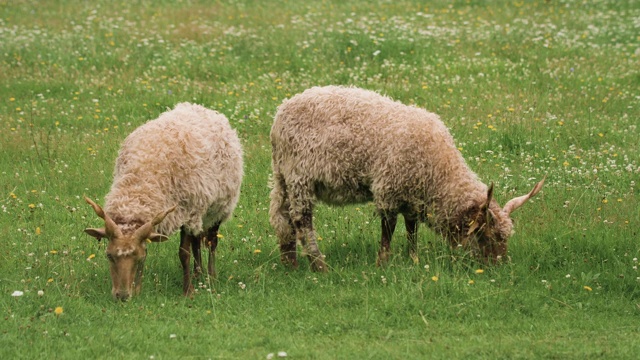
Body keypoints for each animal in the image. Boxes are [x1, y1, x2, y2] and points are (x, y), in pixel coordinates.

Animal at [84, 102, 242, 300]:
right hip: (199, 210)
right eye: (109, 256)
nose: (122, 296)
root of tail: (201, 108)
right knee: (197, 241)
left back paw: (211, 277)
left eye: (141, 257)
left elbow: (184, 253)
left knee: (212, 241)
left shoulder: (188, 212)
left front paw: (187, 292)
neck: (140, 184)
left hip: (218, 207)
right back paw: (198, 275)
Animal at [268, 85, 544, 270]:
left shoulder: (412, 196)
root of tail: (280, 114)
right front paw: (383, 263)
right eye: (488, 236)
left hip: (283, 177)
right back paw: (319, 266)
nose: (499, 268)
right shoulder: (389, 188)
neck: (439, 174)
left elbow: (412, 230)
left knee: (282, 219)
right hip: (300, 176)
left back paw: (290, 263)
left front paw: (413, 259)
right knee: (301, 221)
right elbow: (388, 230)